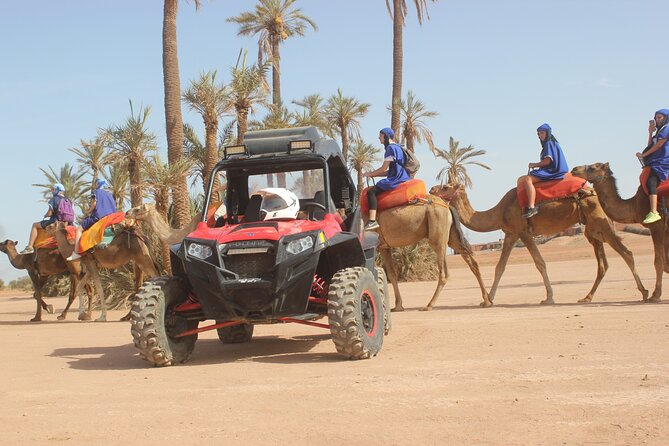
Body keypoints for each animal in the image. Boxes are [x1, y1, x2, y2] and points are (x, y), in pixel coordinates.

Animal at [128, 200, 488, 312]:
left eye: (139, 207)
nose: (128, 213)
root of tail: (444, 203)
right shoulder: (382, 245)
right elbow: (392, 275)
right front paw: (396, 305)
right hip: (446, 231)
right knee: (470, 258)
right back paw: (485, 300)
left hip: (437, 234)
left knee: (447, 269)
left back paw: (431, 304)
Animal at [428, 181, 648, 304]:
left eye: (446, 186)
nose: (432, 188)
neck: (500, 211)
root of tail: (595, 194)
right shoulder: (510, 234)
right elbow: (500, 267)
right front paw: (488, 299)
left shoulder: (522, 232)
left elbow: (539, 263)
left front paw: (548, 297)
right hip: (592, 229)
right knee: (603, 263)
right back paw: (587, 297)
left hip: (600, 223)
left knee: (626, 253)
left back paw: (645, 292)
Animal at [568, 162, 668, 302]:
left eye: (593, 167)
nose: (574, 169)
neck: (633, 205)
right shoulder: (665, 228)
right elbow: (665, 261)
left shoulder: (657, 226)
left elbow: (659, 261)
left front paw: (655, 295)